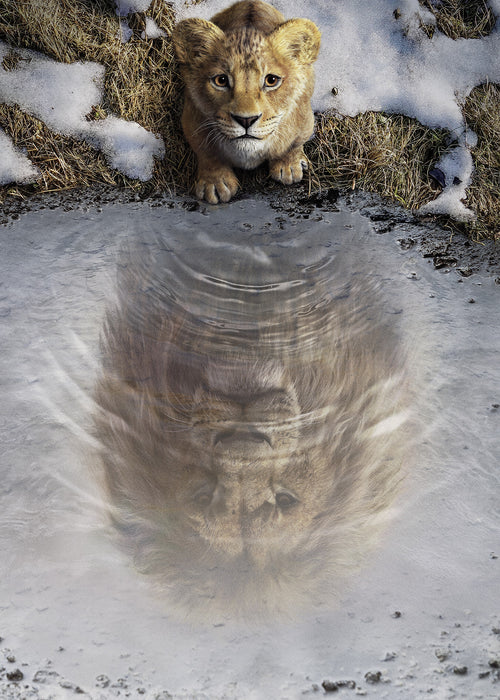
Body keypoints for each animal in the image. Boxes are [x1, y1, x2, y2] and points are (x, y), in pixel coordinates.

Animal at [172, 0, 321, 203]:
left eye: (271, 80)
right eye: (221, 80)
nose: (246, 120)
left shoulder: (305, 120)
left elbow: (293, 144)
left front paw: (289, 166)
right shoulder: (192, 119)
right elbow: (207, 152)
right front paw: (215, 184)